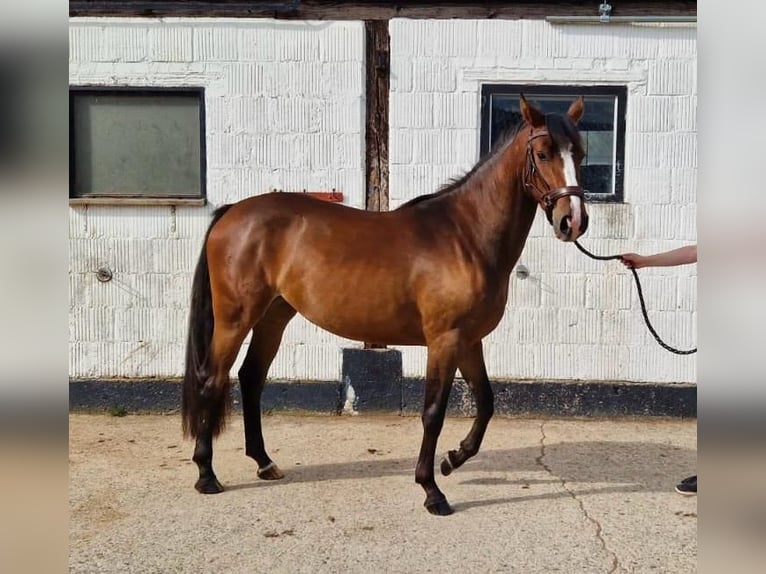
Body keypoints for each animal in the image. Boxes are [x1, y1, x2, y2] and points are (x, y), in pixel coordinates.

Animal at [183, 94, 592, 516]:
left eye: (580, 152)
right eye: (543, 153)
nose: (573, 221)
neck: (465, 236)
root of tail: (232, 211)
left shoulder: (468, 341)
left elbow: (486, 402)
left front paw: (453, 458)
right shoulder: (445, 341)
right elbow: (433, 412)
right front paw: (432, 490)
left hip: (274, 316)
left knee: (250, 378)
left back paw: (264, 463)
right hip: (235, 319)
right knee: (213, 379)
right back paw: (206, 475)